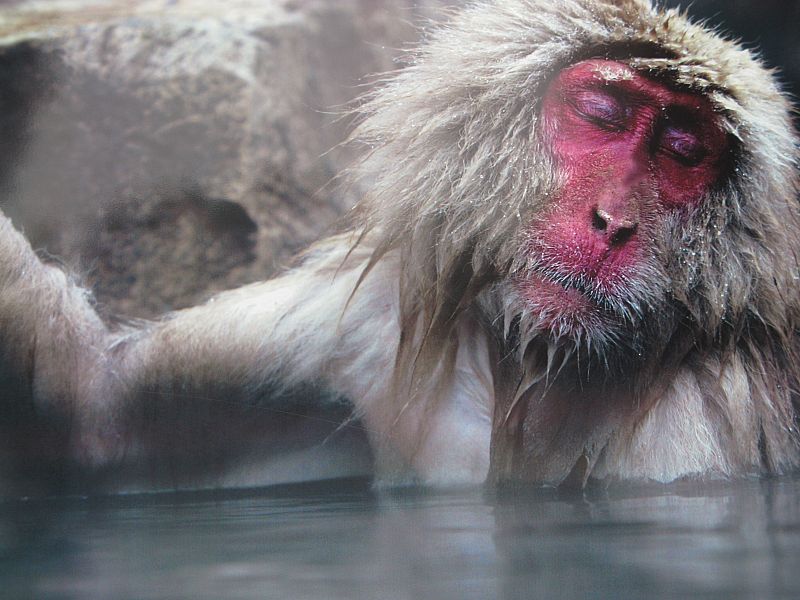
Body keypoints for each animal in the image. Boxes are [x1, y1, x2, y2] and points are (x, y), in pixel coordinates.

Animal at [0, 0, 798, 494]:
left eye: (682, 151)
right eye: (602, 113)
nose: (613, 222)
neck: (533, 369)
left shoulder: (706, 406)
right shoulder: (363, 326)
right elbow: (97, 420)